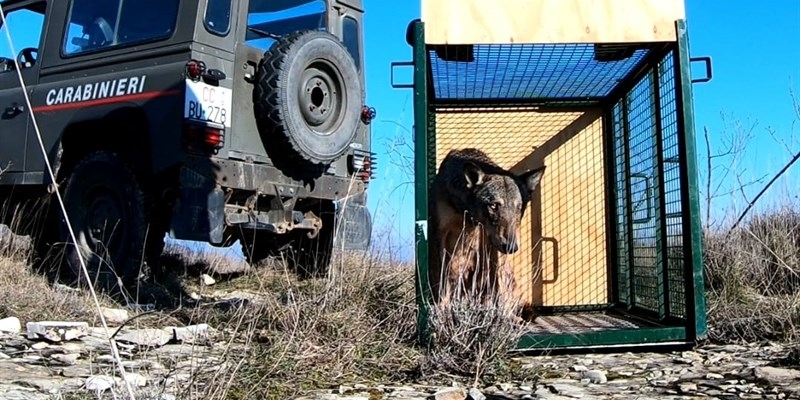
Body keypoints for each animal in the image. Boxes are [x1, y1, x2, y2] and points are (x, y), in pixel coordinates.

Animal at [428, 148, 545, 316]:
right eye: (494, 205)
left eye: (518, 208)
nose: (512, 247)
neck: (464, 212)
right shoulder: (440, 233)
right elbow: (442, 280)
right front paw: (442, 308)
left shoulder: (490, 241)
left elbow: (496, 283)